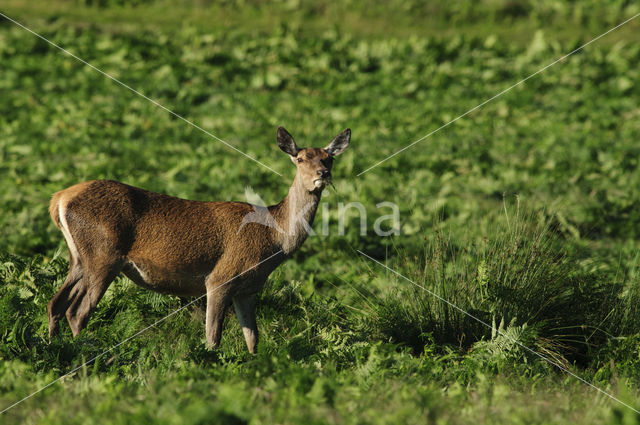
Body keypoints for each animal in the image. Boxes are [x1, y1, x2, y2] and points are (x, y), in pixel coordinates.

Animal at [47, 127, 352, 352]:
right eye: (300, 159)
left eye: (329, 158)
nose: (323, 174)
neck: (273, 240)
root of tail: (58, 199)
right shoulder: (220, 277)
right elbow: (213, 337)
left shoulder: (249, 289)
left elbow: (253, 339)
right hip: (103, 256)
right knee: (78, 311)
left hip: (79, 258)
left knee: (56, 303)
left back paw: (55, 348)